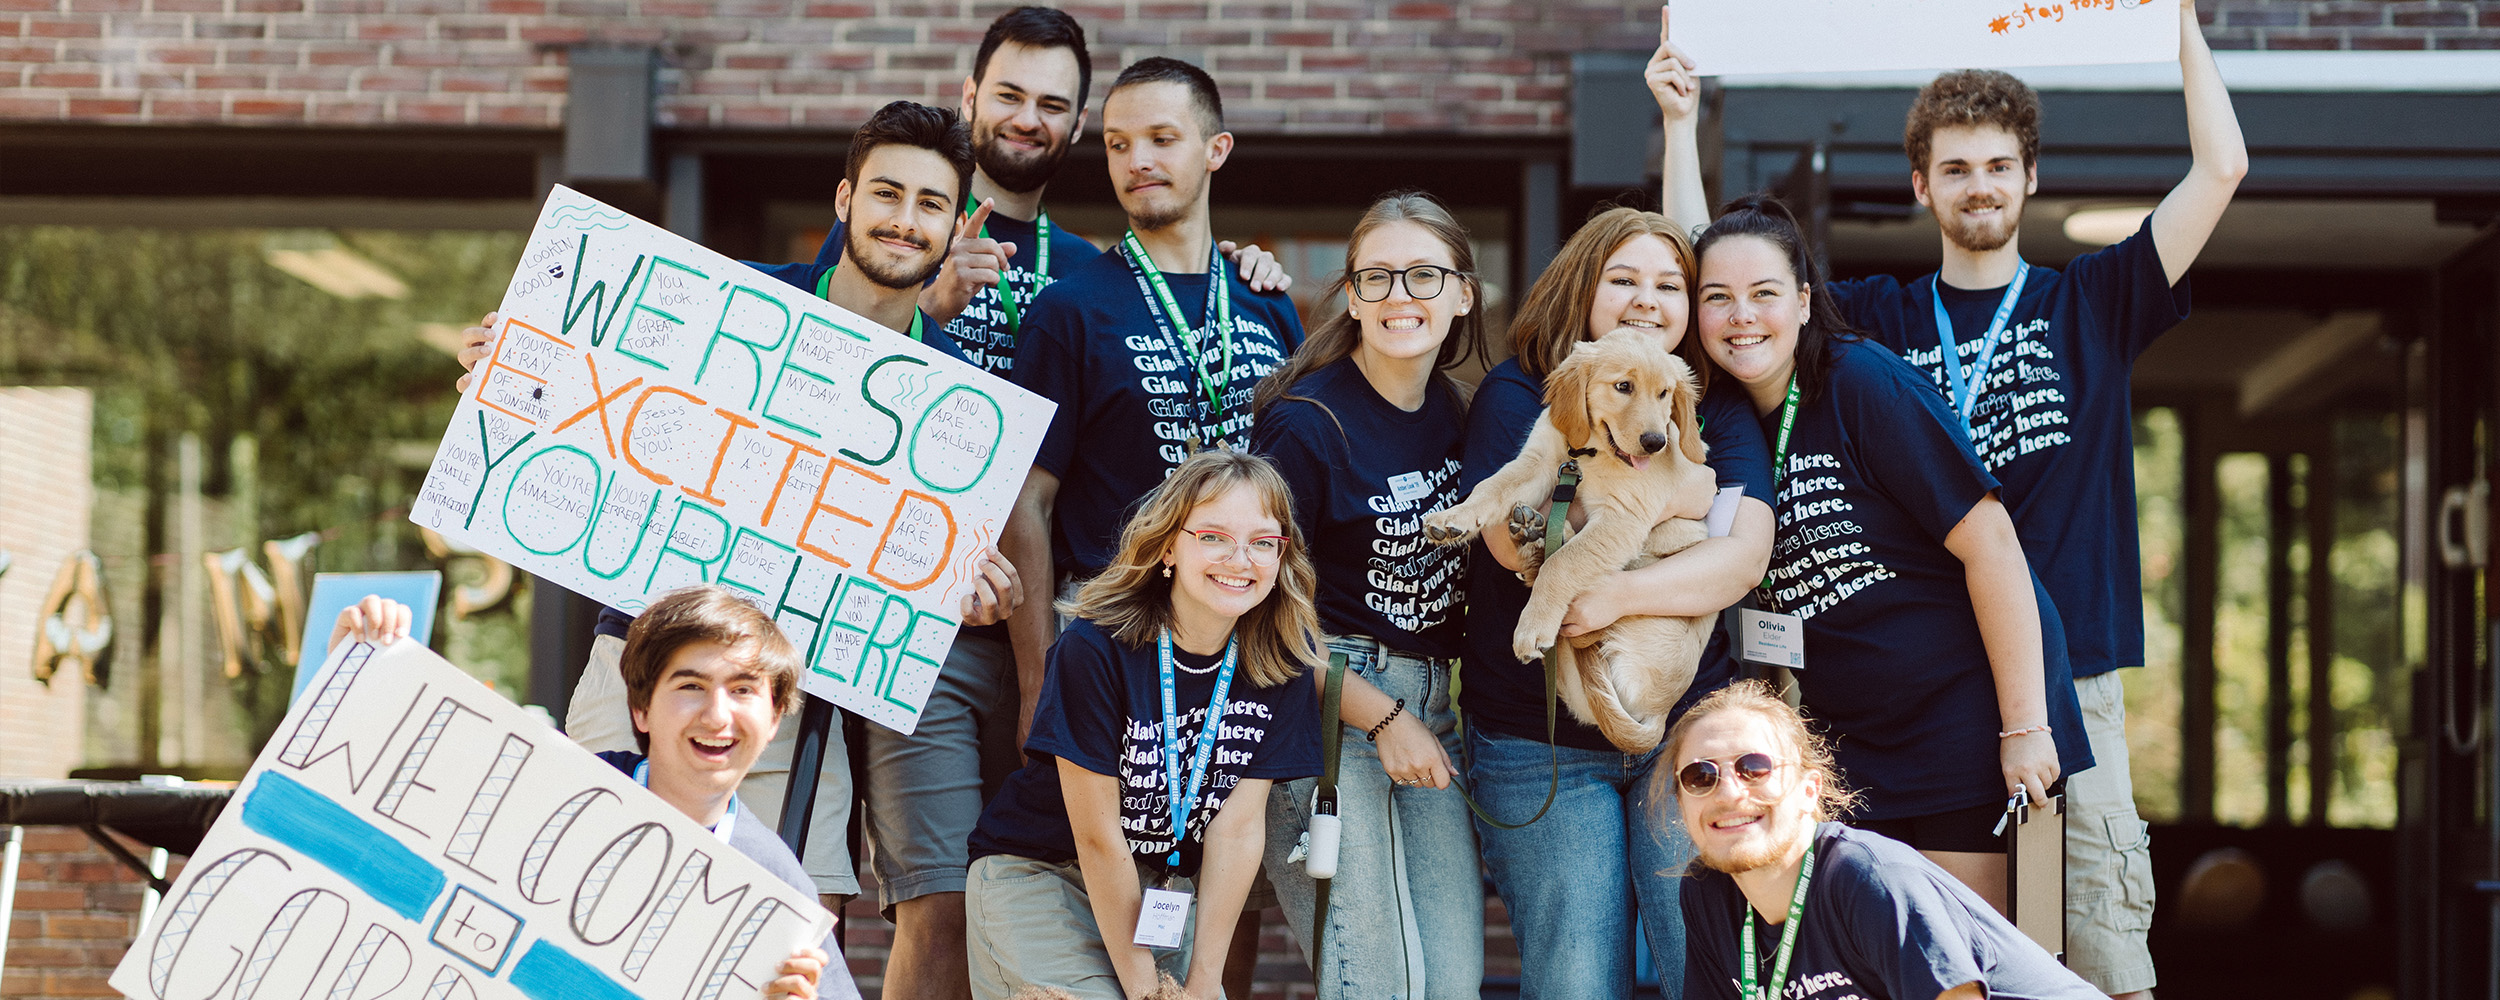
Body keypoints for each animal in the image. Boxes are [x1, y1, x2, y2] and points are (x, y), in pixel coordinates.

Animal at [1430, 327, 1720, 750]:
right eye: (1624, 387)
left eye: (1665, 394)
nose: (1655, 443)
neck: (1589, 451)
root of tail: (1662, 714)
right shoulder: (1537, 462)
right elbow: (1490, 487)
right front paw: (1453, 519)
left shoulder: (1623, 518)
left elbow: (1562, 565)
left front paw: (1532, 626)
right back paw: (1534, 537)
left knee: (1586, 624)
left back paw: (1542, 548)